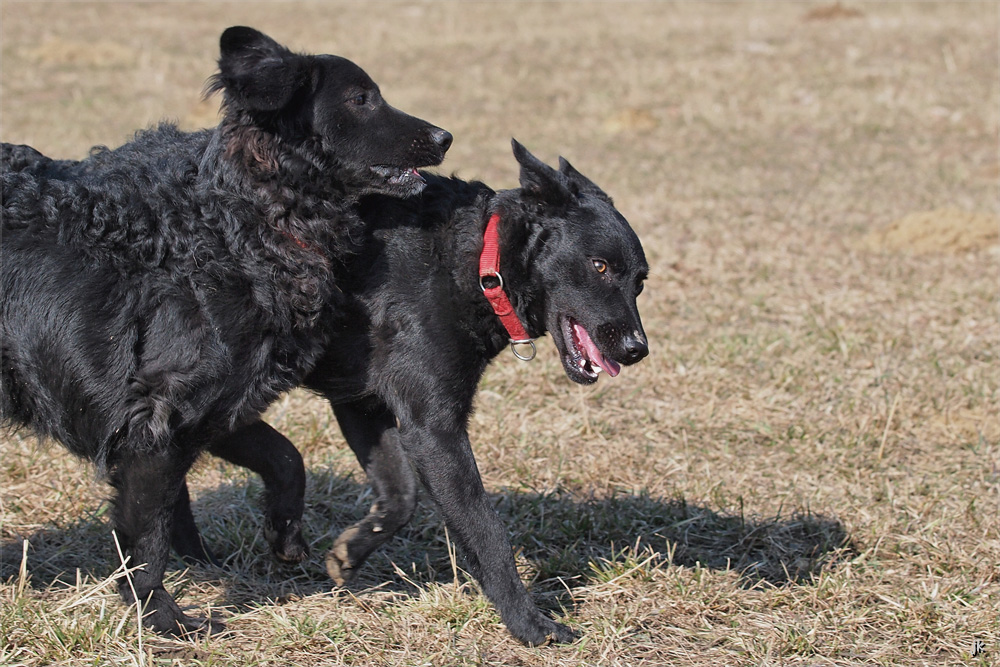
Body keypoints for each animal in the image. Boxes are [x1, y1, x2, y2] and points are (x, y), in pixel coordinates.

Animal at [0, 27, 452, 636]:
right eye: (362, 99)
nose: (445, 136)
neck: (240, 224)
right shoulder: (156, 422)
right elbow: (147, 540)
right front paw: (164, 619)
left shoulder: (221, 404)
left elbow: (286, 457)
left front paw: (283, 535)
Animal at [188, 142, 652, 648]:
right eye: (599, 266)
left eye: (640, 281)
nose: (637, 350)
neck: (478, 261)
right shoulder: (434, 431)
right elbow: (487, 532)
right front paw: (530, 624)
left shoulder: (365, 405)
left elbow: (401, 496)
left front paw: (351, 551)